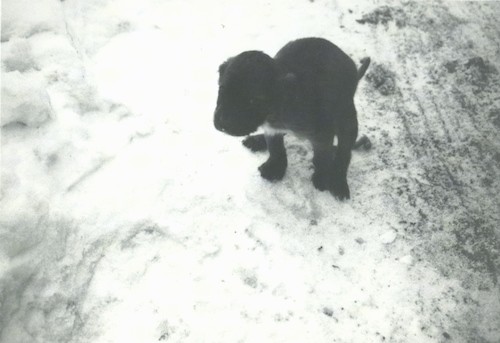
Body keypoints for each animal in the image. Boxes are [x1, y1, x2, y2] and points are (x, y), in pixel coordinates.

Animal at [213, 37, 370, 199]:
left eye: (254, 100)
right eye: (222, 89)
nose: (223, 124)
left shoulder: (322, 134)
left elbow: (322, 157)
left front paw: (322, 177)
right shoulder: (271, 129)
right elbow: (276, 148)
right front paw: (275, 167)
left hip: (347, 118)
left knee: (344, 152)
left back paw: (339, 182)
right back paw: (257, 140)